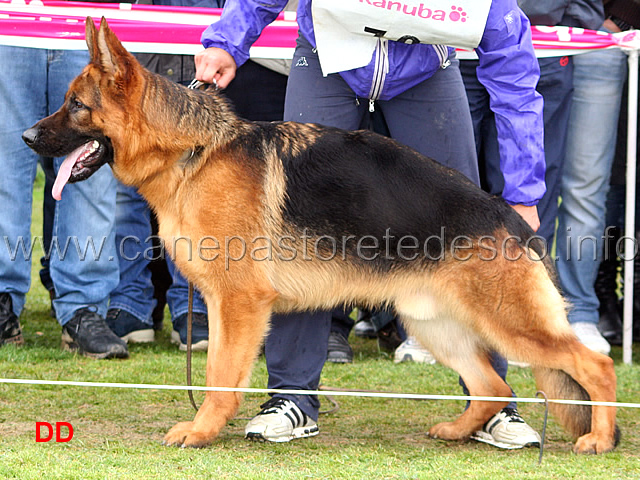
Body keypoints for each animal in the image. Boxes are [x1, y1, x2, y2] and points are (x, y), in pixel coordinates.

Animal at [25, 18, 620, 454]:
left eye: (76, 105)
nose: (28, 136)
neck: (193, 150)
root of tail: (513, 219)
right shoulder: (221, 304)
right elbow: (219, 369)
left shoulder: (239, 304)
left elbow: (221, 375)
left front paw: (200, 430)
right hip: (435, 325)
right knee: (493, 387)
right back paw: (458, 429)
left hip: (510, 325)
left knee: (594, 364)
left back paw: (599, 438)